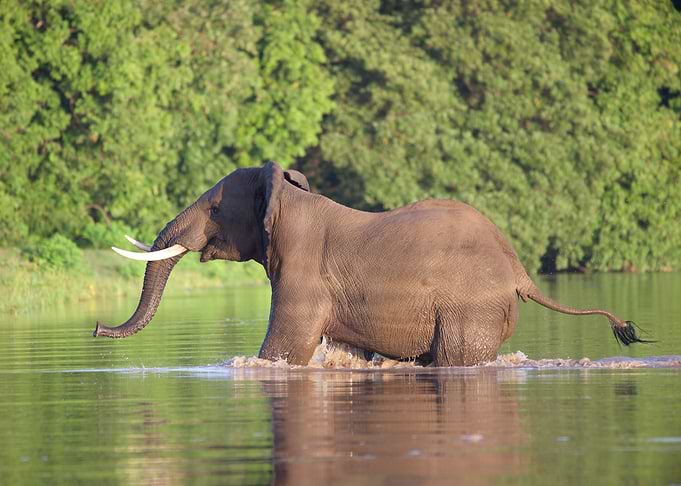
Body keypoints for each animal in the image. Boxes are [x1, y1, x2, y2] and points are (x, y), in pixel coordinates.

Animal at [93, 161, 646, 366]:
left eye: (213, 209)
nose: (97, 329)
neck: (291, 199)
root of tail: (520, 271)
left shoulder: (302, 277)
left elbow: (284, 349)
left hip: (471, 310)